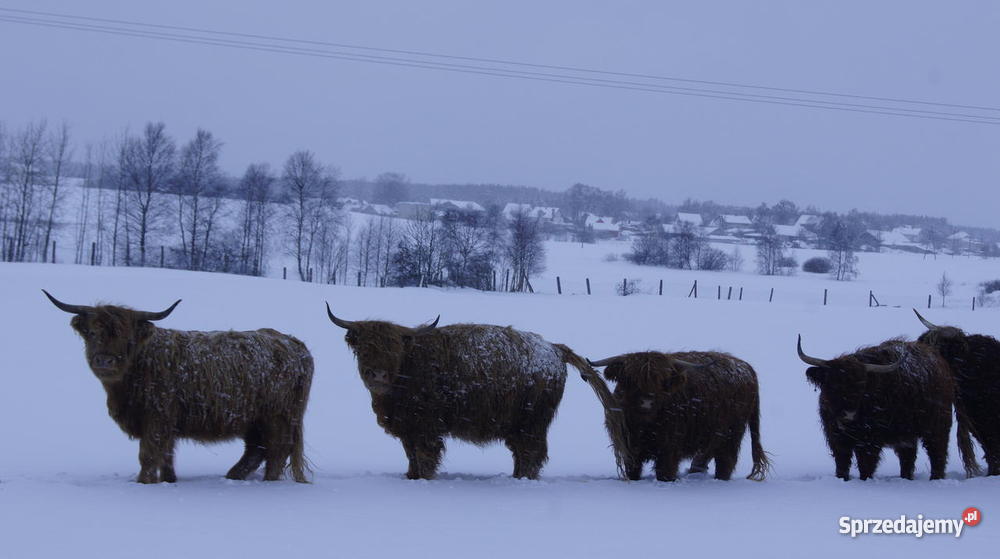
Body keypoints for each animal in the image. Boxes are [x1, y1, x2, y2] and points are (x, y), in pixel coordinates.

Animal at [44, 290, 314, 484]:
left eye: (127, 339)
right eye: (92, 333)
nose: (105, 361)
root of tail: (293, 342)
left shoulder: (157, 416)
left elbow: (148, 454)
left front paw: (144, 483)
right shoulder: (167, 422)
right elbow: (166, 455)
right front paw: (169, 481)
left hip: (277, 416)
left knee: (276, 451)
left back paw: (267, 483)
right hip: (255, 419)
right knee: (256, 450)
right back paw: (233, 476)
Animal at [325, 304, 626, 480]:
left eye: (395, 348)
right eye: (364, 347)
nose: (378, 375)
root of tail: (554, 348)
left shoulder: (425, 426)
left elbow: (424, 454)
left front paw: (422, 478)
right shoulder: (408, 426)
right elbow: (411, 454)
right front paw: (410, 476)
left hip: (533, 421)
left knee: (532, 452)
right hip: (519, 424)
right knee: (522, 452)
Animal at [581, 351, 770, 482]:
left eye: (660, 381)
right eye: (631, 380)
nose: (646, 402)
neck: (645, 425)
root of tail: (747, 367)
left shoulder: (669, 447)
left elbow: (665, 471)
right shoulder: (629, 445)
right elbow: (633, 469)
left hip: (730, 434)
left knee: (726, 461)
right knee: (704, 457)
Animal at [797, 335, 953, 480]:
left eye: (861, 386)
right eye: (833, 384)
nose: (848, 414)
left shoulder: (869, 442)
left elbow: (866, 466)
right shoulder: (836, 439)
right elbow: (842, 464)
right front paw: (842, 479)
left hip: (938, 427)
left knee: (937, 453)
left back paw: (935, 478)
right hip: (907, 434)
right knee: (908, 457)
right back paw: (906, 477)